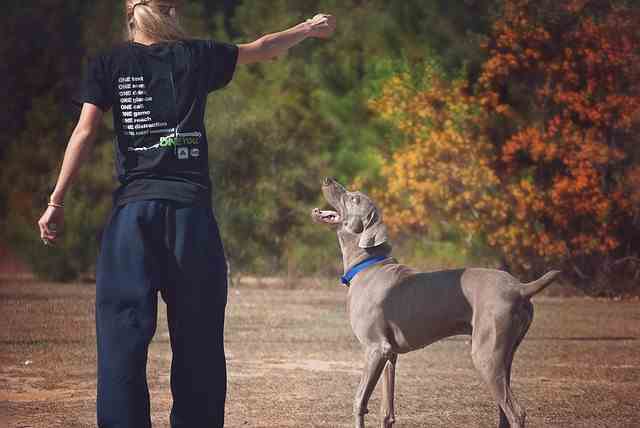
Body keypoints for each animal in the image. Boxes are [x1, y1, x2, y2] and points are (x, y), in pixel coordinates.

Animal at [312, 177, 560, 428]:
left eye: (354, 199)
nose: (327, 179)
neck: (367, 265)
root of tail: (520, 287)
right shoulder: (389, 354)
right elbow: (386, 411)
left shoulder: (375, 348)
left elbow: (359, 401)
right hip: (504, 354)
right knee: (504, 410)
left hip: (486, 355)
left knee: (516, 412)